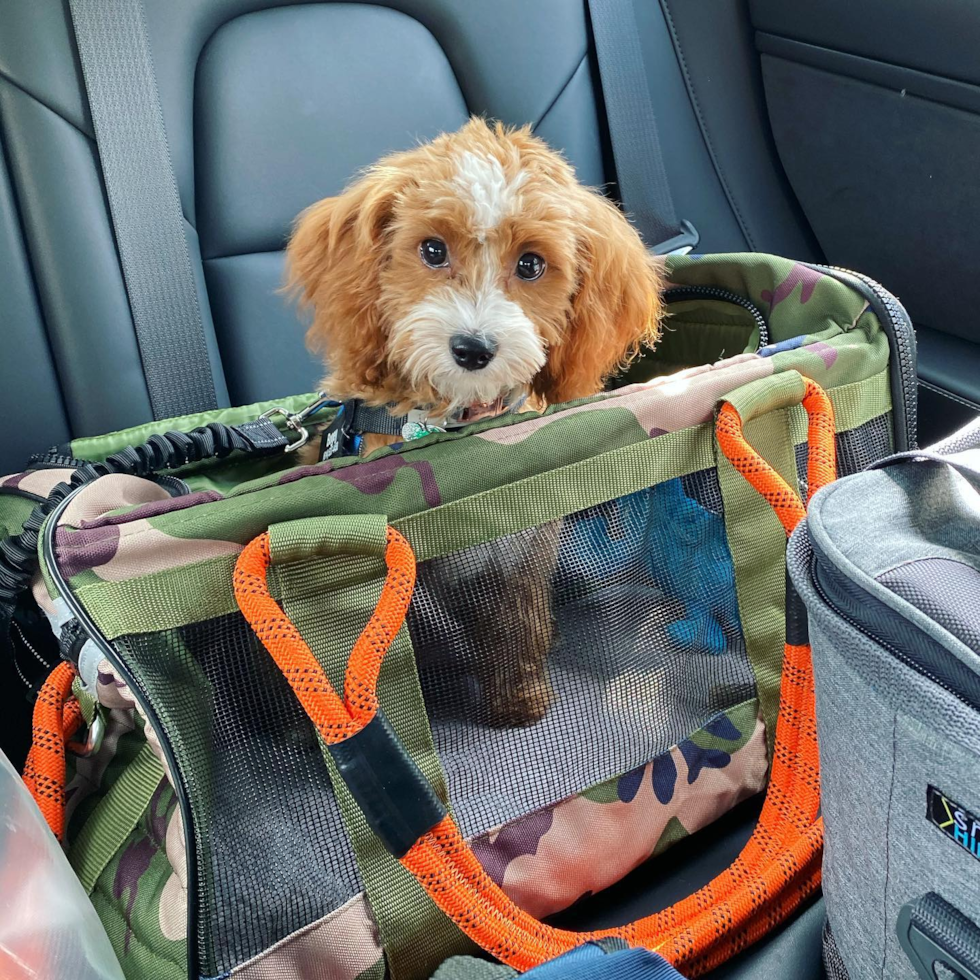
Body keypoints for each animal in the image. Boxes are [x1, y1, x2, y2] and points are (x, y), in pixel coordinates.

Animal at [288, 118, 664, 724]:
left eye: (531, 264)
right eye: (432, 249)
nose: (472, 348)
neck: (459, 421)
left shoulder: (523, 548)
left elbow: (519, 621)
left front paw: (518, 700)